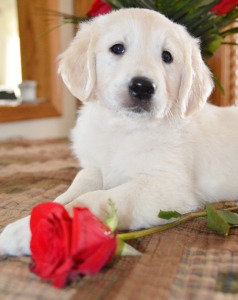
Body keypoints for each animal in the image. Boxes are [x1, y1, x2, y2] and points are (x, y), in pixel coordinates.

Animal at [0, 8, 238, 254]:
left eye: (167, 56)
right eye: (117, 48)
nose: (142, 87)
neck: (123, 127)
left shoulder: (167, 186)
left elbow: (92, 200)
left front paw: (33, 229)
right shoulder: (94, 166)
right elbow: (78, 185)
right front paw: (47, 210)